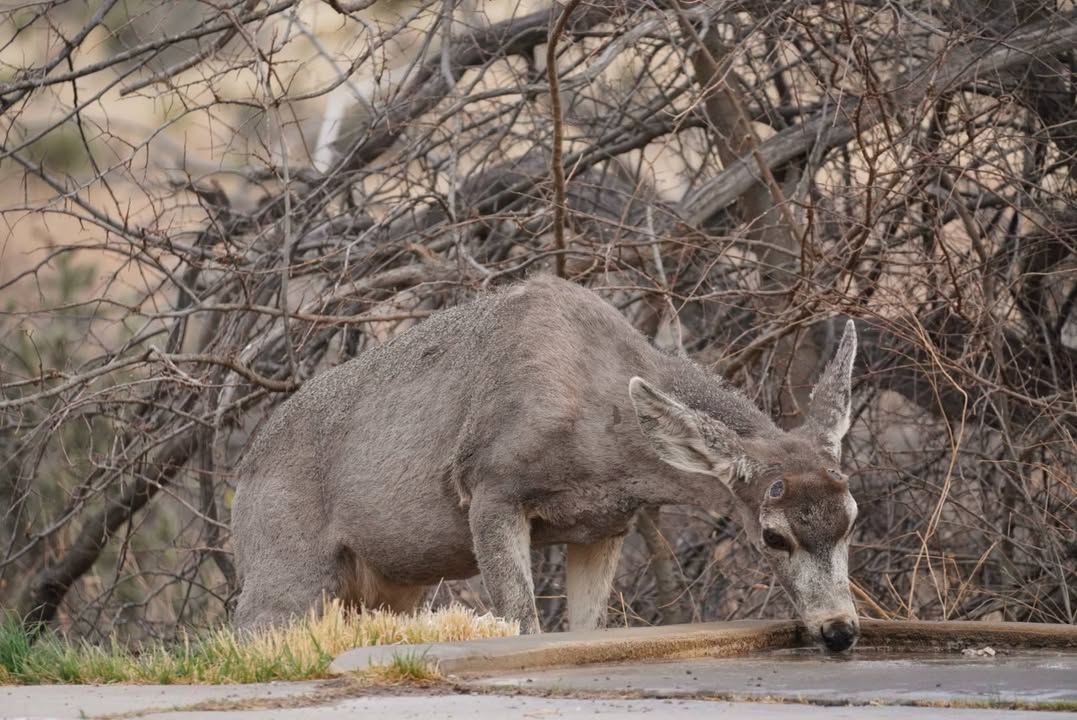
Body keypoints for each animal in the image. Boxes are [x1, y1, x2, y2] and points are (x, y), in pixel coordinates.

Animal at [231, 274, 861, 652]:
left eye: (853, 519)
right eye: (774, 537)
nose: (840, 630)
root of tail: (245, 466)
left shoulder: (604, 527)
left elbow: (587, 629)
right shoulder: (489, 487)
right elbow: (523, 622)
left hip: (393, 583)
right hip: (284, 567)